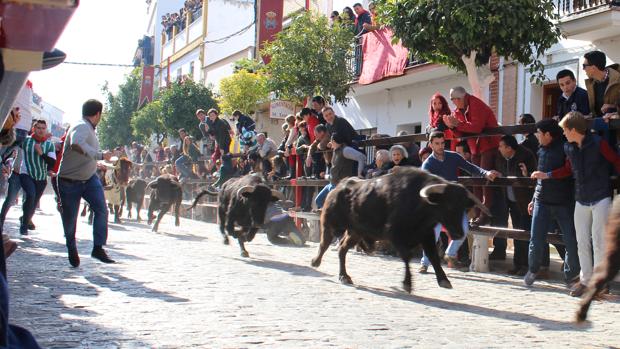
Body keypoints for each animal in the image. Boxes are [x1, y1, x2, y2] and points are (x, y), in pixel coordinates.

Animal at [310, 167, 490, 292]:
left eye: (464, 208)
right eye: (449, 206)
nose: (459, 233)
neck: (420, 206)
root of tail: (338, 187)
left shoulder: (426, 235)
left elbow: (433, 256)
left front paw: (444, 280)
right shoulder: (396, 235)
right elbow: (406, 257)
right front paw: (407, 284)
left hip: (355, 232)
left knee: (342, 249)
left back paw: (344, 276)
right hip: (330, 224)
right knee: (325, 243)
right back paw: (315, 262)